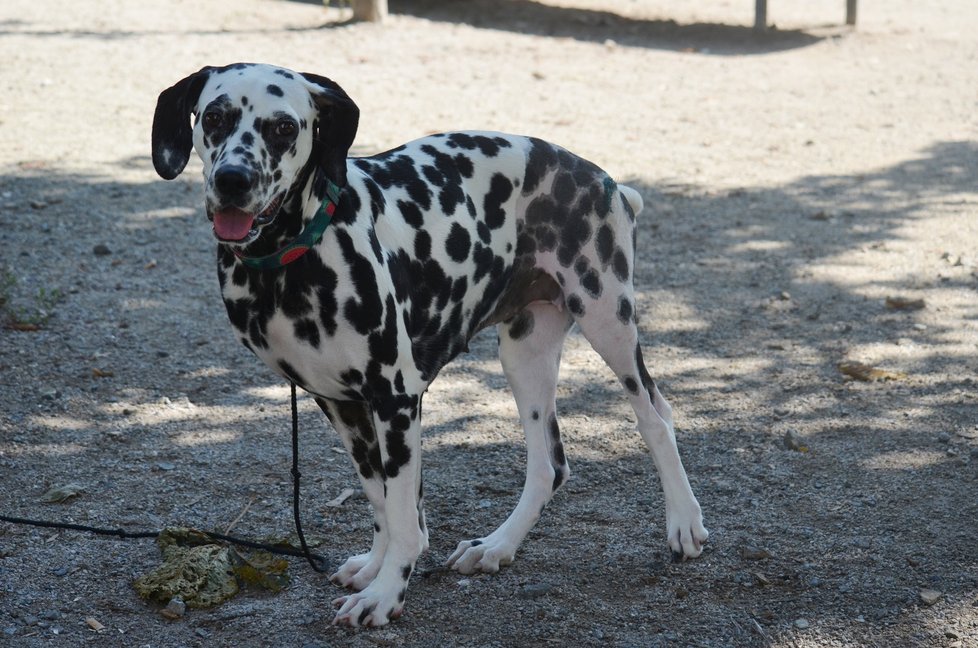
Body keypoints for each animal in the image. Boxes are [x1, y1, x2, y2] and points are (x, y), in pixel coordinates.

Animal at [151, 63, 700, 624]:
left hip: (608, 322)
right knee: (550, 465)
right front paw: (376, 567)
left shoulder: (395, 398)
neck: (293, 260)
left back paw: (684, 522)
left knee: (656, 417)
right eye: (214, 117)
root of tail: (603, 180)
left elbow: (400, 511)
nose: (232, 180)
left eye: (283, 126)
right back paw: (497, 546)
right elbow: (380, 498)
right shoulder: (341, 403)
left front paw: (385, 593)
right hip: (524, 357)